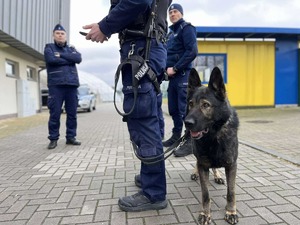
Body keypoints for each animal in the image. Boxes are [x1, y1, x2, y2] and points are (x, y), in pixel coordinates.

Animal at [185, 67, 239, 224]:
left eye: (206, 105)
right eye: (191, 104)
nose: (187, 123)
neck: (213, 136)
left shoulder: (231, 165)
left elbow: (231, 192)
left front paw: (231, 212)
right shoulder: (203, 165)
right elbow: (205, 194)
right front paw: (205, 213)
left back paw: (217, 175)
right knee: (197, 163)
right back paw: (195, 172)